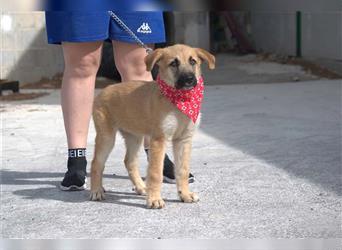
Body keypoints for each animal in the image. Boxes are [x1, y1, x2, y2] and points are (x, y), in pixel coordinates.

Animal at [89, 44, 215, 208]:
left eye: (193, 61)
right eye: (173, 63)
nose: (189, 79)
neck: (179, 101)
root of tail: (102, 92)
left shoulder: (184, 140)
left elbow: (182, 170)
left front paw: (185, 195)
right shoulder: (159, 139)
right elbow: (156, 173)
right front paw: (154, 199)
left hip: (134, 137)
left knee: (129, 161)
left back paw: (141, 187)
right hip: (107, 137)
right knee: (96, 163)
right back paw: (96, 190)